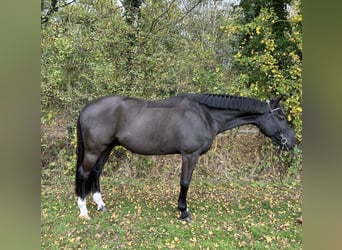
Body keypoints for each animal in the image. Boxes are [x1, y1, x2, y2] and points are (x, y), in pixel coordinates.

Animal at [75, 93, 296, 221]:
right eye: (281, 116)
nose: (293, 141)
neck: (205, 115)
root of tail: (86, 109)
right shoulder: (190, 155)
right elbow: (185, 183)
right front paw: (183, 212)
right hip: (95, 149)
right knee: (84, 173)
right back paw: (84, 210)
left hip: (107, 148)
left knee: (96, 172)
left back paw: (101, 204)